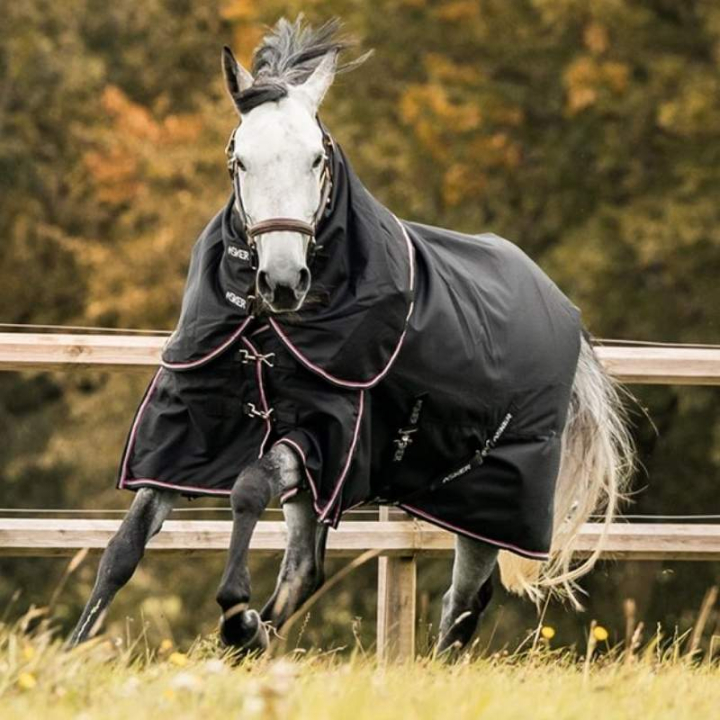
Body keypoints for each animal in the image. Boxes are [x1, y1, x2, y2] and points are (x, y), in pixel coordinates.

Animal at [69, 18, 635, 655]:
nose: (283, 281)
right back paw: (259, 638)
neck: (269, 333)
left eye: (317, 158)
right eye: (239, 160)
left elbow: (246, 487)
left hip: (489, 501)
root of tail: (560, 303)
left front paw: (236, 610)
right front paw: (76, 649)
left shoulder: (323, 435)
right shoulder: (188, 431)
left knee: (463, 604)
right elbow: (124, 547)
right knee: (307, 568)